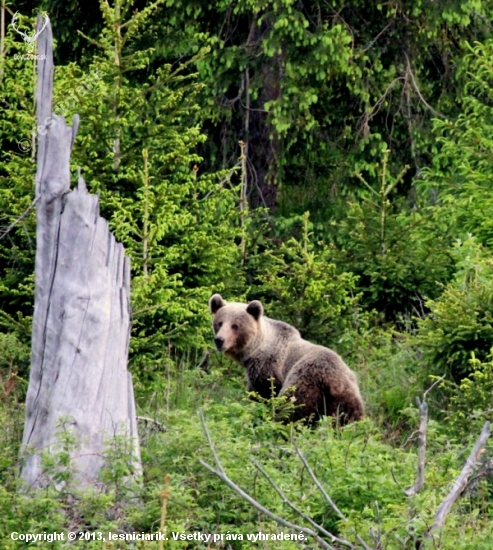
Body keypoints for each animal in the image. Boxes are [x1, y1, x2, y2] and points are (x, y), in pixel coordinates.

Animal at [209, 294, 364, 426]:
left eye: (235, 326)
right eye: (220, 323)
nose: (219, 340)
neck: (255, 349)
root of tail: (332, 379)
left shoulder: (266, 368)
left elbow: (261, 396)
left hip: (304, 380)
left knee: (291, 411)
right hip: (347, 395)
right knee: (349, 418)